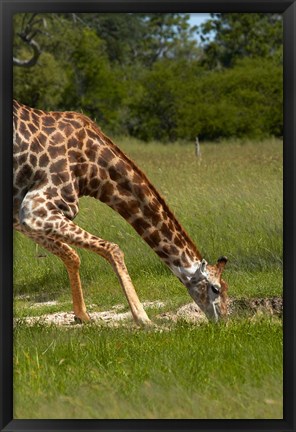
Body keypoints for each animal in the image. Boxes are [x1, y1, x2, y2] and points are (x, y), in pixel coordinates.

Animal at [12, 99, 228, 326]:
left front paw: (82, 315)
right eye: (216, 289)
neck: (93, 170)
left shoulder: (20, 217)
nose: (224, 320)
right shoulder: (35, 209)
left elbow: (72, 255)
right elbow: (112, 248)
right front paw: (143, 319)